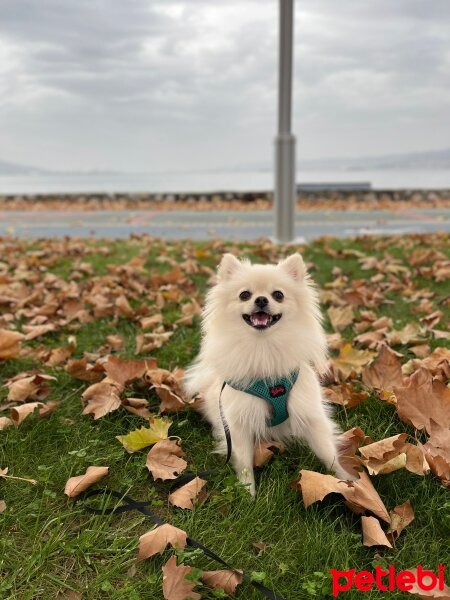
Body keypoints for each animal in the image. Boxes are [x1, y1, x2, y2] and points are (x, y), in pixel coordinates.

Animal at [183, 251, 356, 494]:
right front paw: (248, 494)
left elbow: (327, 452)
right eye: (244, 295)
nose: (261, 300)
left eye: (278, 295)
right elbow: (245, 463)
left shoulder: (308, 411)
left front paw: (347, 480)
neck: (263, 348)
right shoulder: (239, 421)